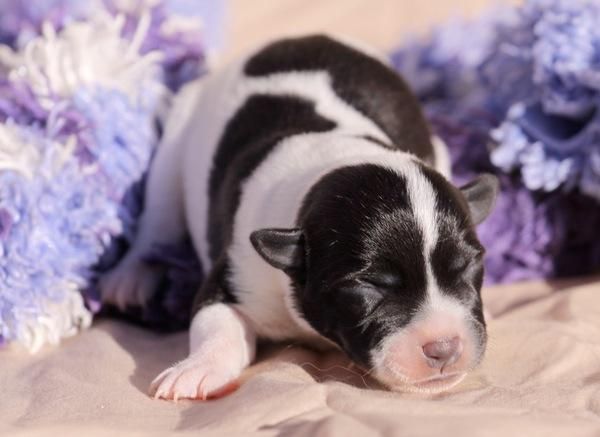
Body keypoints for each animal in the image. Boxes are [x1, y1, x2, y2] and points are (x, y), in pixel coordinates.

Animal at [101, 35, 498, 399]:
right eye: (370, 285)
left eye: (468, 266)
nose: (444, 348)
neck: (337, 153)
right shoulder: (237, 273)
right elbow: (215, 323)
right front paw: (197, 368)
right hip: (173, 143)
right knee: (158, 219)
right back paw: (132, 275)